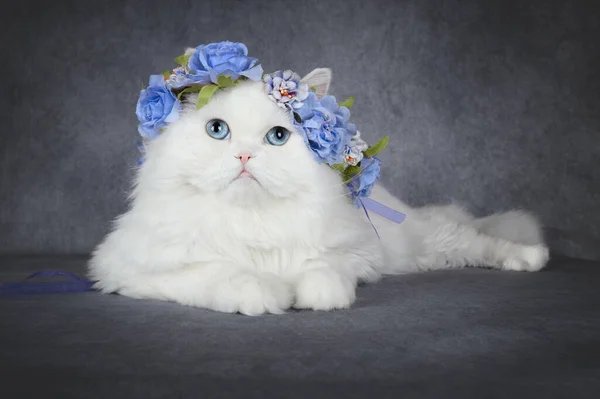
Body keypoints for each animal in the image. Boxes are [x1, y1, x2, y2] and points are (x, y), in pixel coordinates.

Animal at [86, 70, 552, 318]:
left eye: (277, 137)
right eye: (217, 130)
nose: (244, 155)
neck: (251, 220)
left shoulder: (357, 254)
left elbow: (323, 268)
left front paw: (316, 297)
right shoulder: (128, 268)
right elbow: (219, 273)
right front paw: (268, 294)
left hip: (422, 240)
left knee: (477, 240)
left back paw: (533, 257)